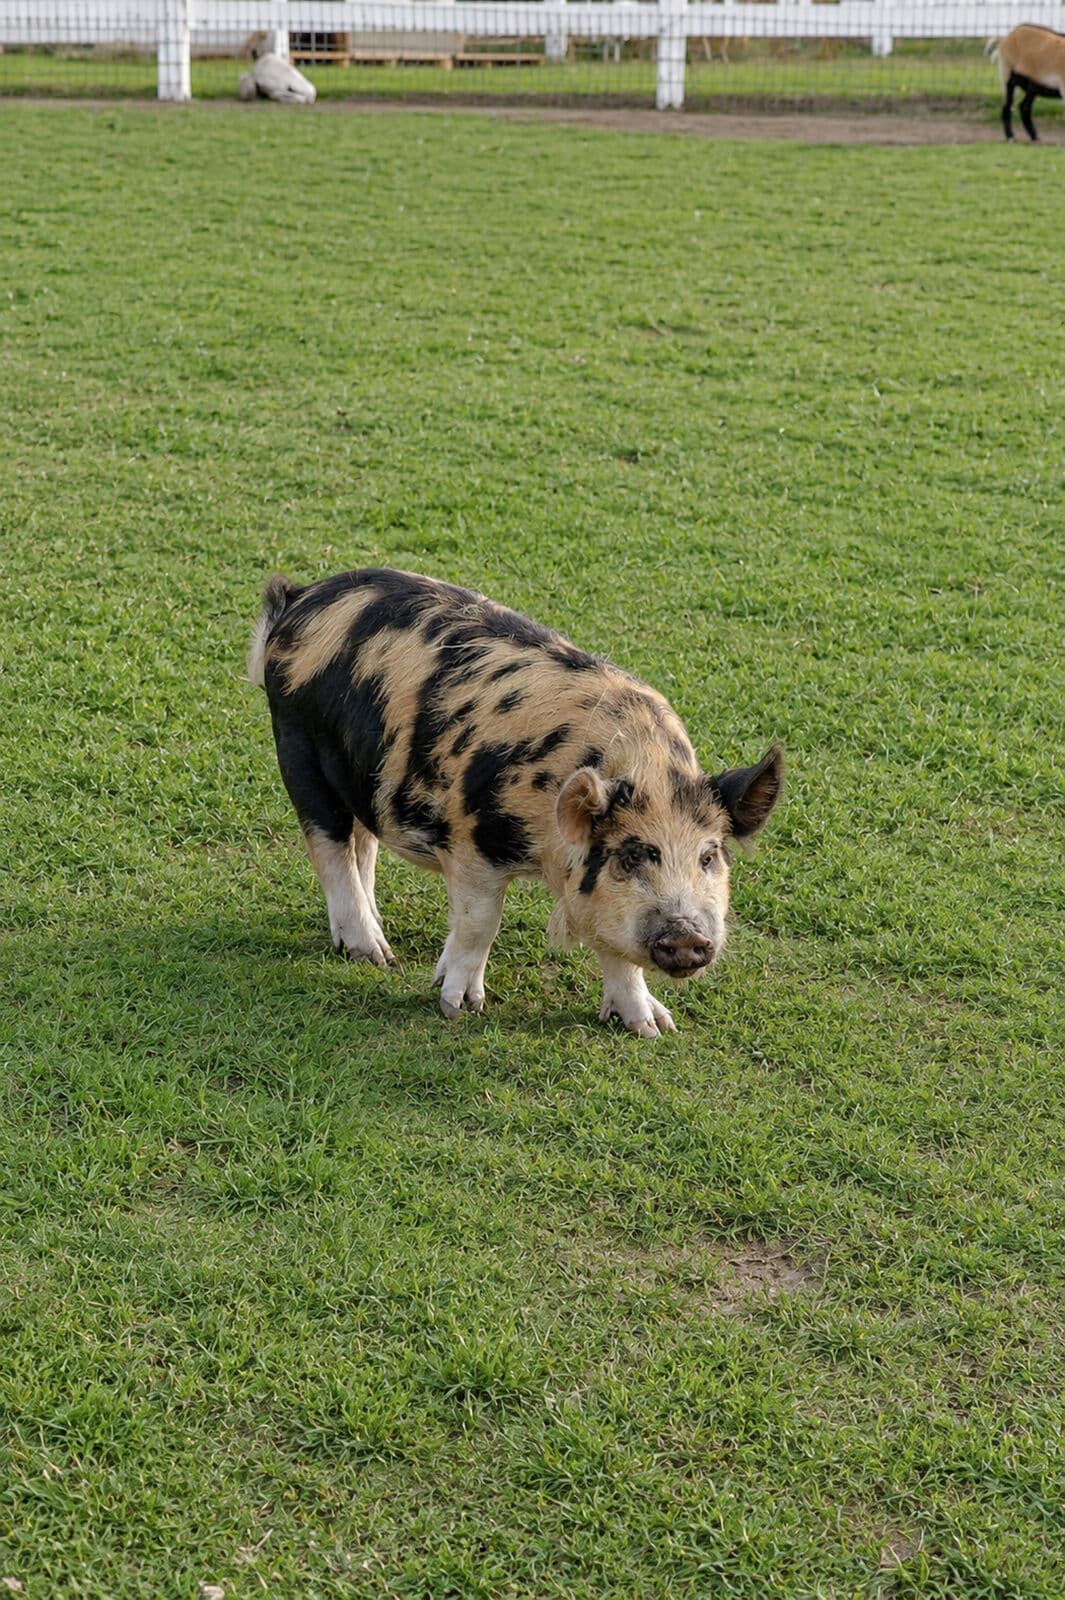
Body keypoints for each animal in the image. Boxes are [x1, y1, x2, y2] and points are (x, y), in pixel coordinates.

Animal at [248, 567, 782, 1038]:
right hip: (297, 749)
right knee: (330, 846)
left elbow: (616, 950)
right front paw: (459, 1007)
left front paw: (654, 1028)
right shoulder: (470, 843)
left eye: (709, 856)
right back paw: (376, 954)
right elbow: (480, 921)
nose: (688, 935)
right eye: (632, 856)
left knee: (364, 842)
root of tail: (301, 600)